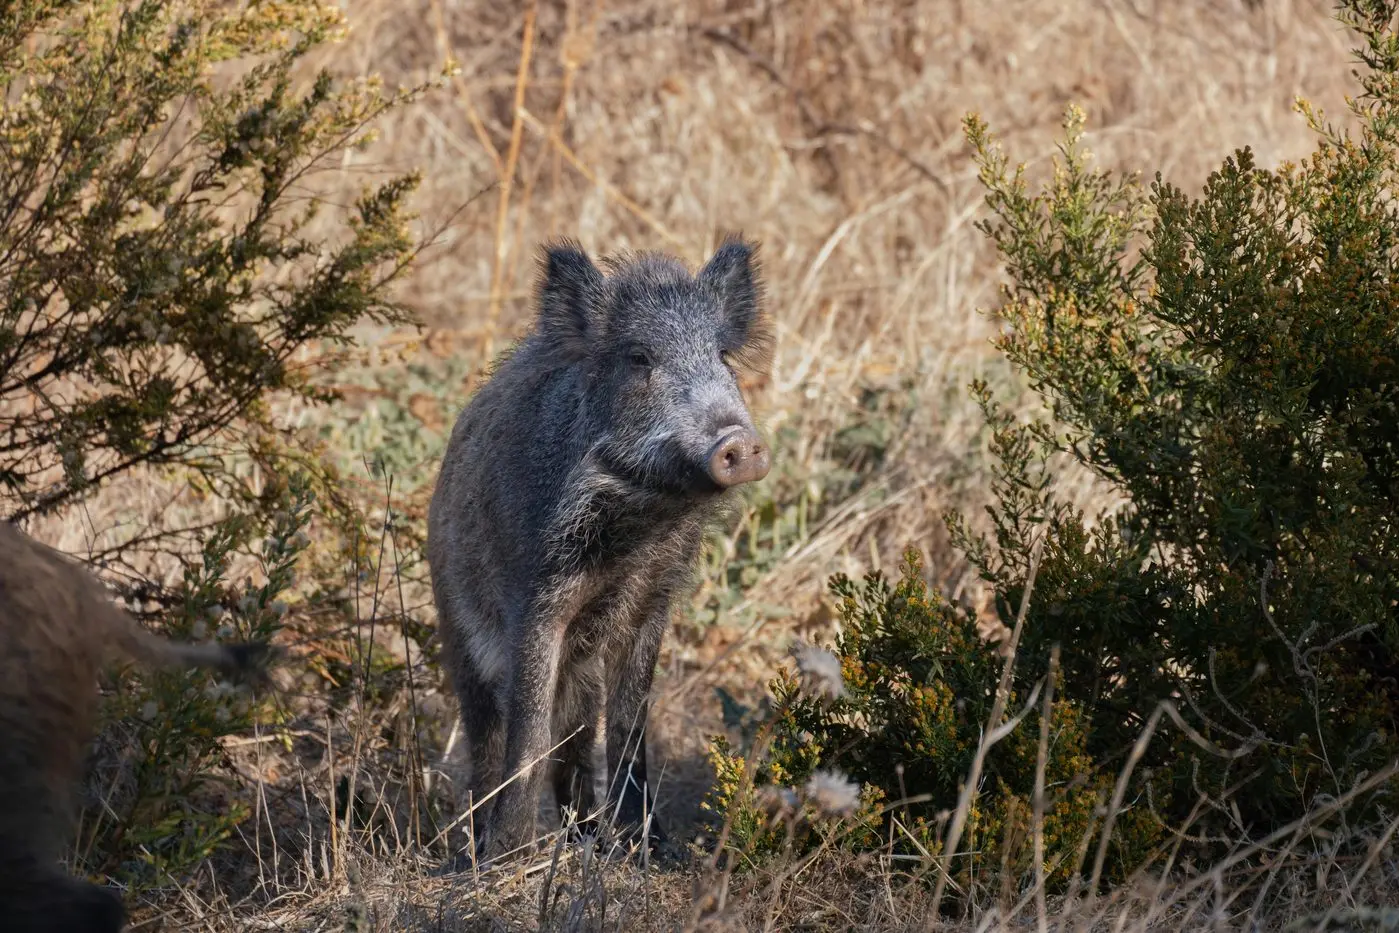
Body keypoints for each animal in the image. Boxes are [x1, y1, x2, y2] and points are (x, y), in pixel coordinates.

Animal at [426, 235, 774, 861]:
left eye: (723, 357)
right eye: (639, 358)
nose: (739, 442)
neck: (640, 527)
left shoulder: (652, 605)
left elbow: (632, 725)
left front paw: (652, 849)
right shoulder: (537, 601)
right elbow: (528, 731)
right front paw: (510, 855)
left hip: (581, 679)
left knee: (578, 742)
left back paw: (587, 836)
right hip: (462, 641)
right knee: (488, 741)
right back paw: (478, 846)